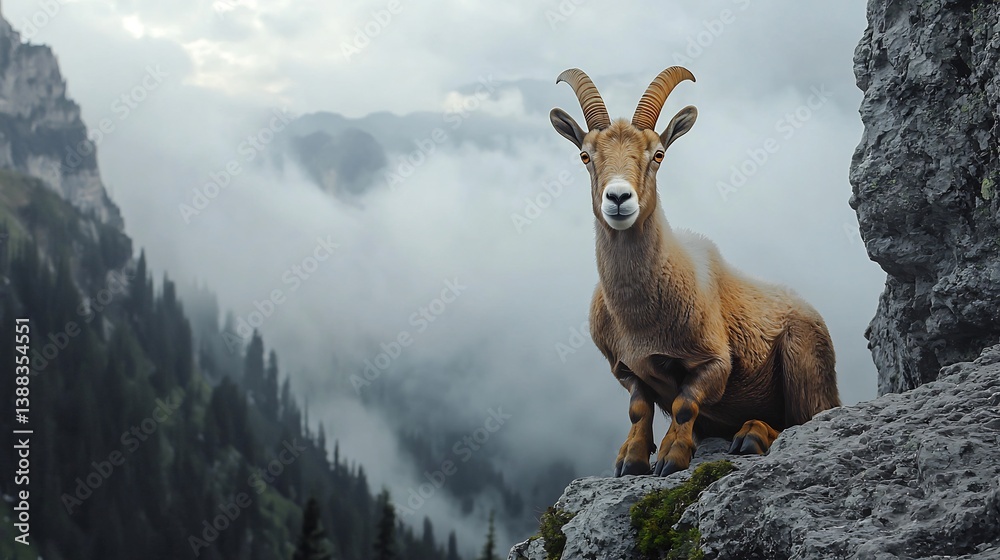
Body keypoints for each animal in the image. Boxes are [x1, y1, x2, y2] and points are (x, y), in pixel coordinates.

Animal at [550, 67, 841, 476]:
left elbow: (684, 403)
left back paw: (752, 434)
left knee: (803, 419)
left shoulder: (715, 362)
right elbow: (638, 408)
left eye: (658, 154)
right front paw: (631, 459)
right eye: (585, 155)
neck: (641, 321)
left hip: (804, 363)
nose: (619, 198)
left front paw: (671, 457)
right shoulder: (626, 369)